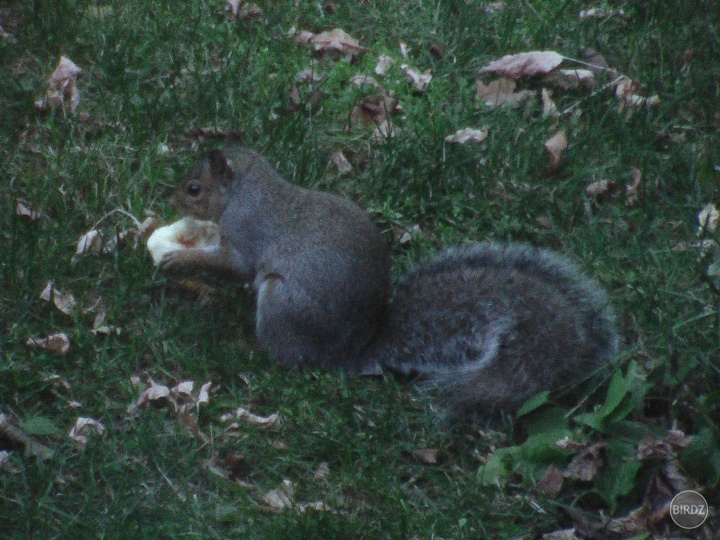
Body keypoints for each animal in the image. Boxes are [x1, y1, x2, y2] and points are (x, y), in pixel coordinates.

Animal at [162, 140, 620, 414]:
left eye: (194, 188)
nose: (169, 199)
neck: (246, 190)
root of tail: (346, 354)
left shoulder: (246, 233)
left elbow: (235, 265)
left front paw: (176, 260)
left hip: (282, 303)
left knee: (287, 357)